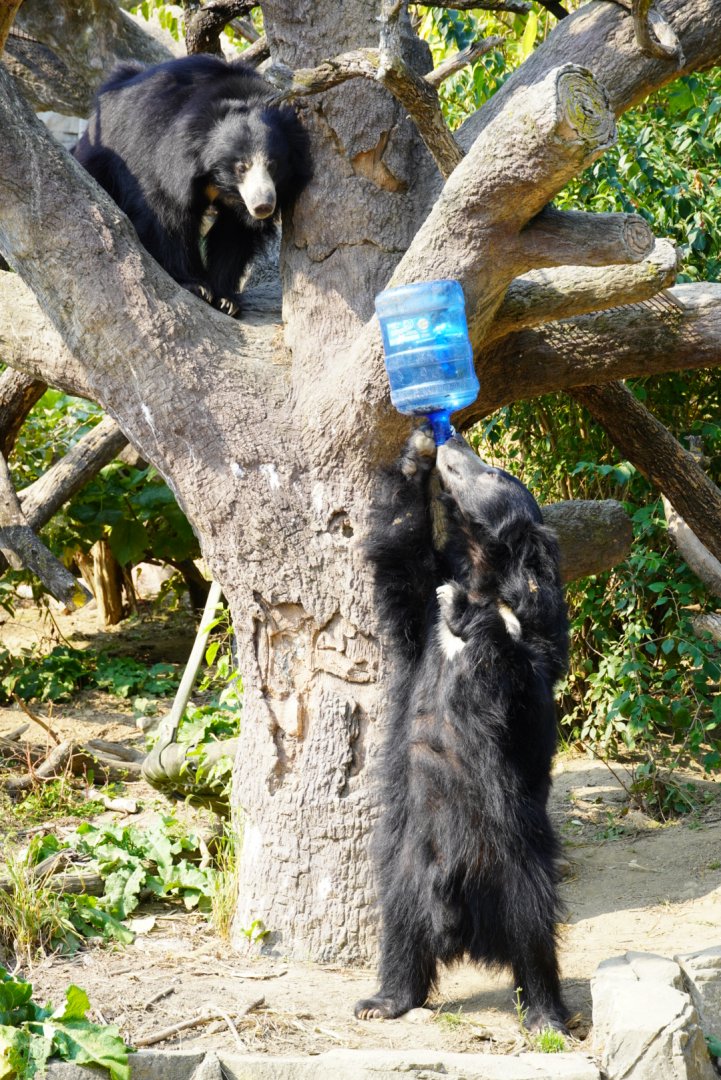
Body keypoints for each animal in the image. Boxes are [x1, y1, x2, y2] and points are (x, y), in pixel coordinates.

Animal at [72, 55, 312, 316]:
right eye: (241, 167)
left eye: (273, 165)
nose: (262, 206)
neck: (219, 181)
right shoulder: (164, 161)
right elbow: (167, 216)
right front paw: (195, 285)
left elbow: (235, 233)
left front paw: (225, 299)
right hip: (103, 157)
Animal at [354, 427, 569, 1033]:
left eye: (490, 473)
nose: (456, 443)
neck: (482, 571)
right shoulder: (415, 615)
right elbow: (402, 562)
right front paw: (417, 453)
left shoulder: (537, 647)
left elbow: (519, 682)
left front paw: (467, 614)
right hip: (406, 862)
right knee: (400, 928)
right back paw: (384, 1000)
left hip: (515, 860)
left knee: (532, 930)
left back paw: (546, 1014)